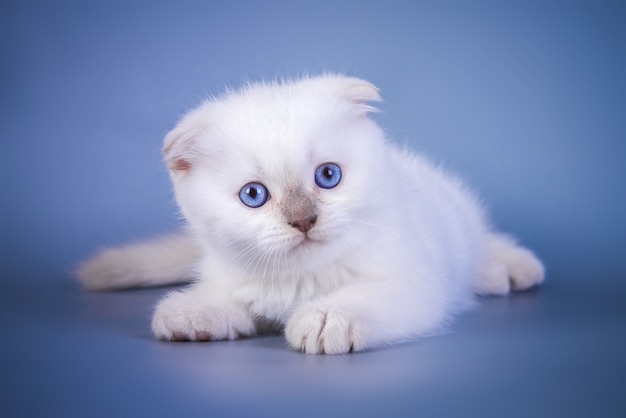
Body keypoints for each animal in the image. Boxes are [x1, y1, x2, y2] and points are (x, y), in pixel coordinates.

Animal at [78, 74, 544, 352]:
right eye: (253, 195)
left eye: (328, 175)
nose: (303, 220)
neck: (301, 281)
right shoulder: (237, 277)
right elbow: (227, 299)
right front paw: (191, 312)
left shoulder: (416, 284)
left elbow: (369, 296)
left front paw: (328, 317)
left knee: (482, 243)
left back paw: (508, 268)